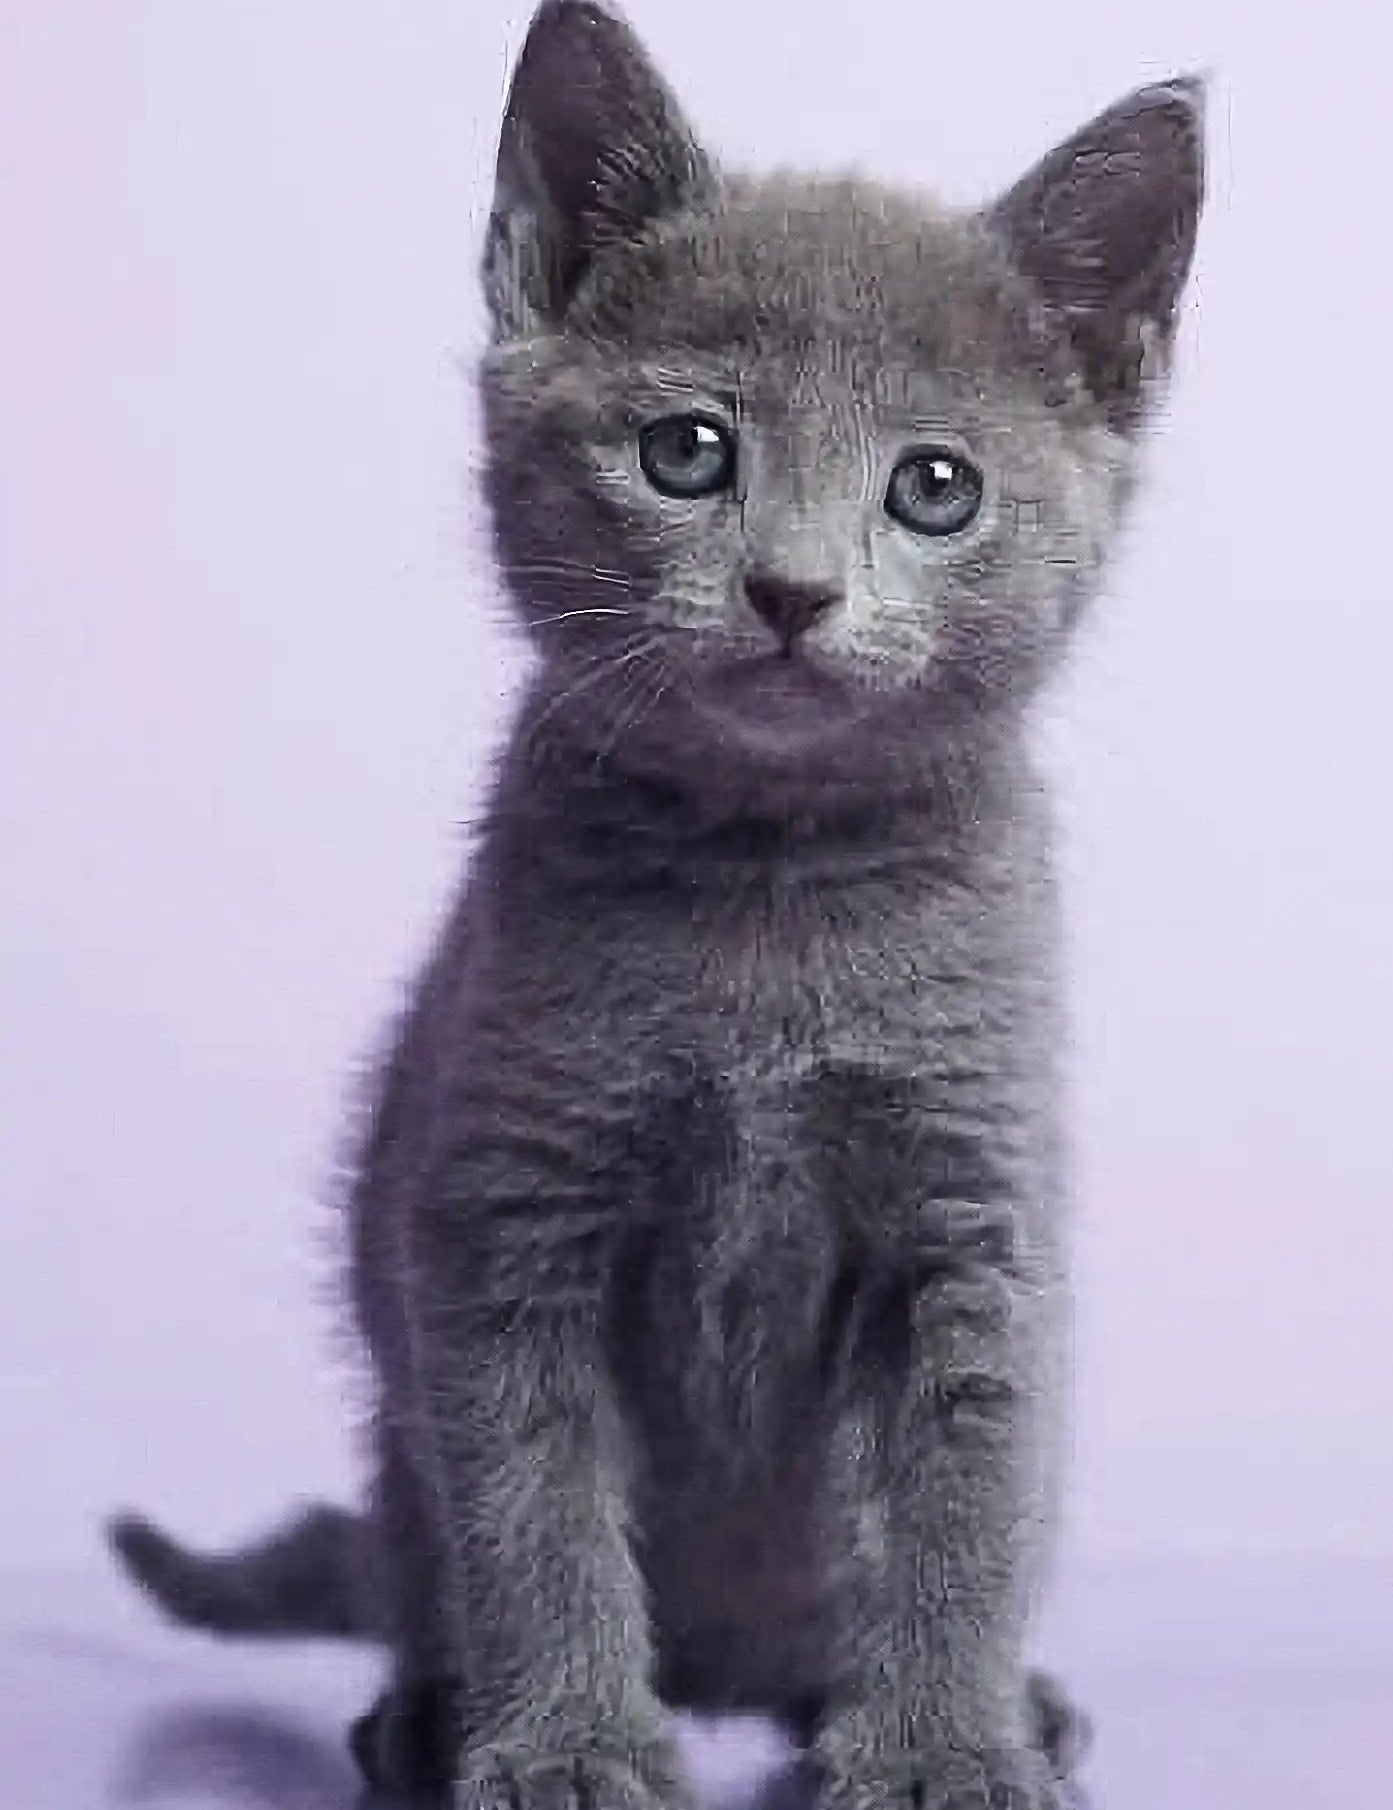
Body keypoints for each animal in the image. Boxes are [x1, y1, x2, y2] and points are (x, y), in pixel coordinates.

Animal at [108, 3, 1201, 1810]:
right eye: (687, 450)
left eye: (934, 487)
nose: (792, 590)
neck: (770, 891)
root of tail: (729, 1670)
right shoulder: (504, 1216)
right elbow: (534, 1513)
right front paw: (565, 1748)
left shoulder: (970, 1218)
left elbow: (958, 1507)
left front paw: (941, 1750)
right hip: (397, 1454)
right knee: (424, 1558)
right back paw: (427, 1713)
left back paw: (1004, 1707)